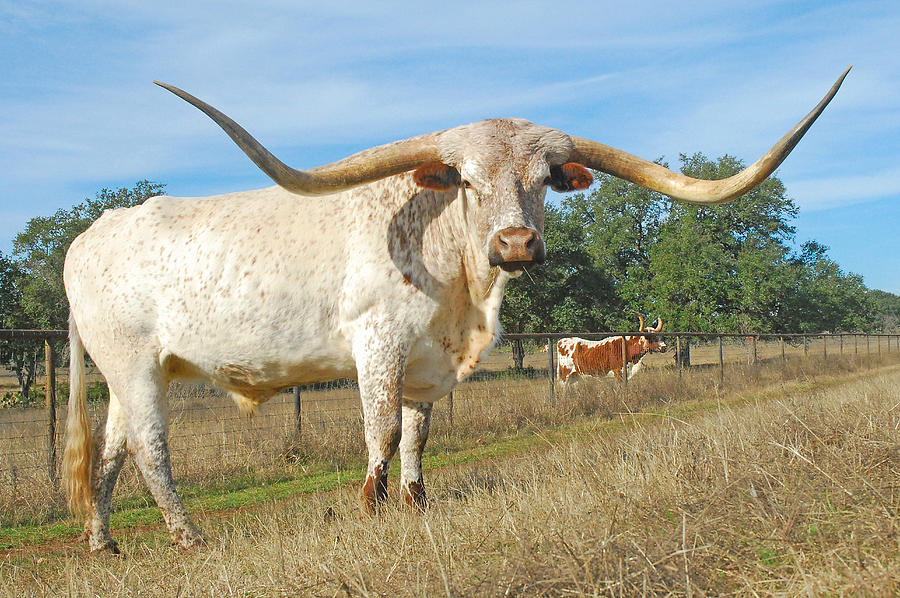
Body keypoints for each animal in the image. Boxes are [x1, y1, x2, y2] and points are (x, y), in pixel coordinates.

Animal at [59, 69, 848, 552]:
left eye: (545, 179)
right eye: (466, 179)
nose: (517, 244)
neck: (459, 284)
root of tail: (90, 234)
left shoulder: (425, 363)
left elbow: (416, 438)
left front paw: (415, 507)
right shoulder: (377, 346)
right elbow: (380, 433)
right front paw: (370, 510)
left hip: (134, 373)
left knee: (110, 453)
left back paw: (105, 542)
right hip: (133, 365)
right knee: (152, 450)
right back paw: (188, 538)